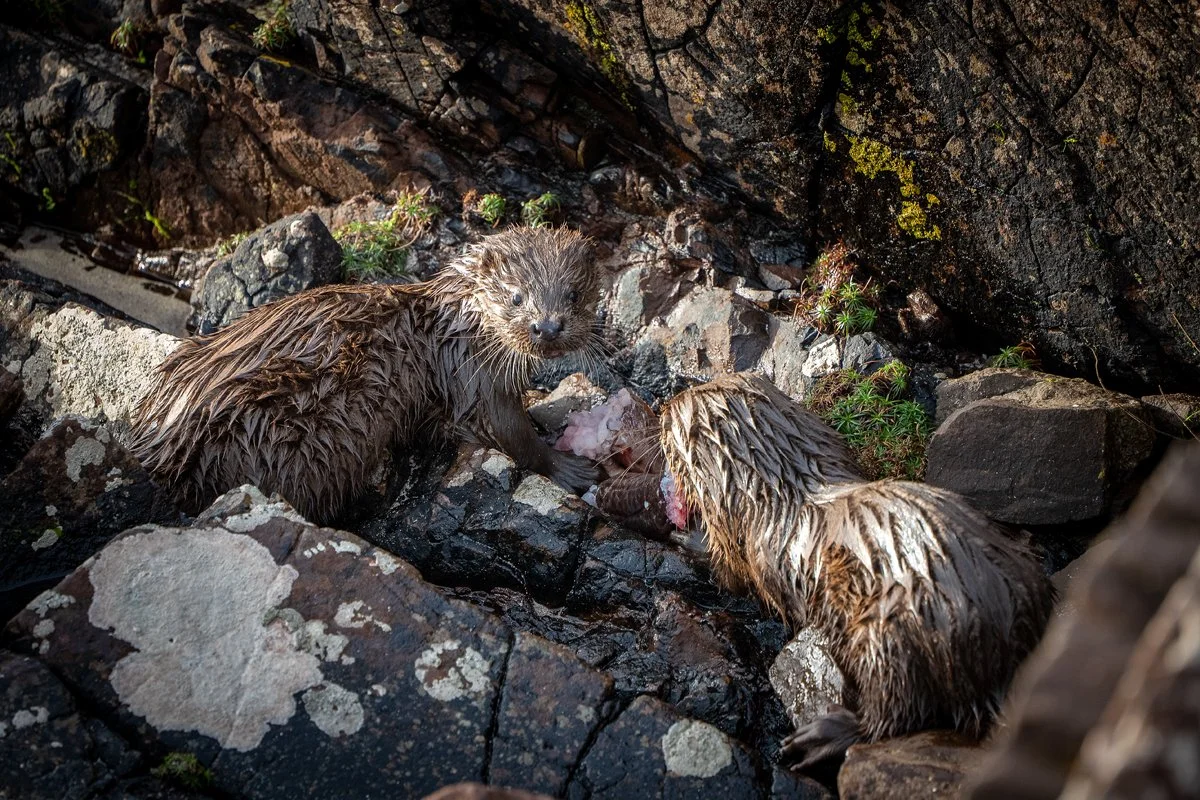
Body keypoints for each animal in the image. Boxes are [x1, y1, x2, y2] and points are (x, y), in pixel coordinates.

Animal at [130, 226, 601, 524]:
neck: (458, 323)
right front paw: (571, 467)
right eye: (516, 297)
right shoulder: (471, 373)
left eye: (574, 294)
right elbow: (510, 434)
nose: (547, 327)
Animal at [658, 372, 1055, 768]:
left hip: (890, 635)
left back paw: (820, 736)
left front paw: (690, 537)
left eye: (671, 419)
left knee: (898, 713)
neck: (773, 491)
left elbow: (732, 577)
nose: (662, 407)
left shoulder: (748, 545)